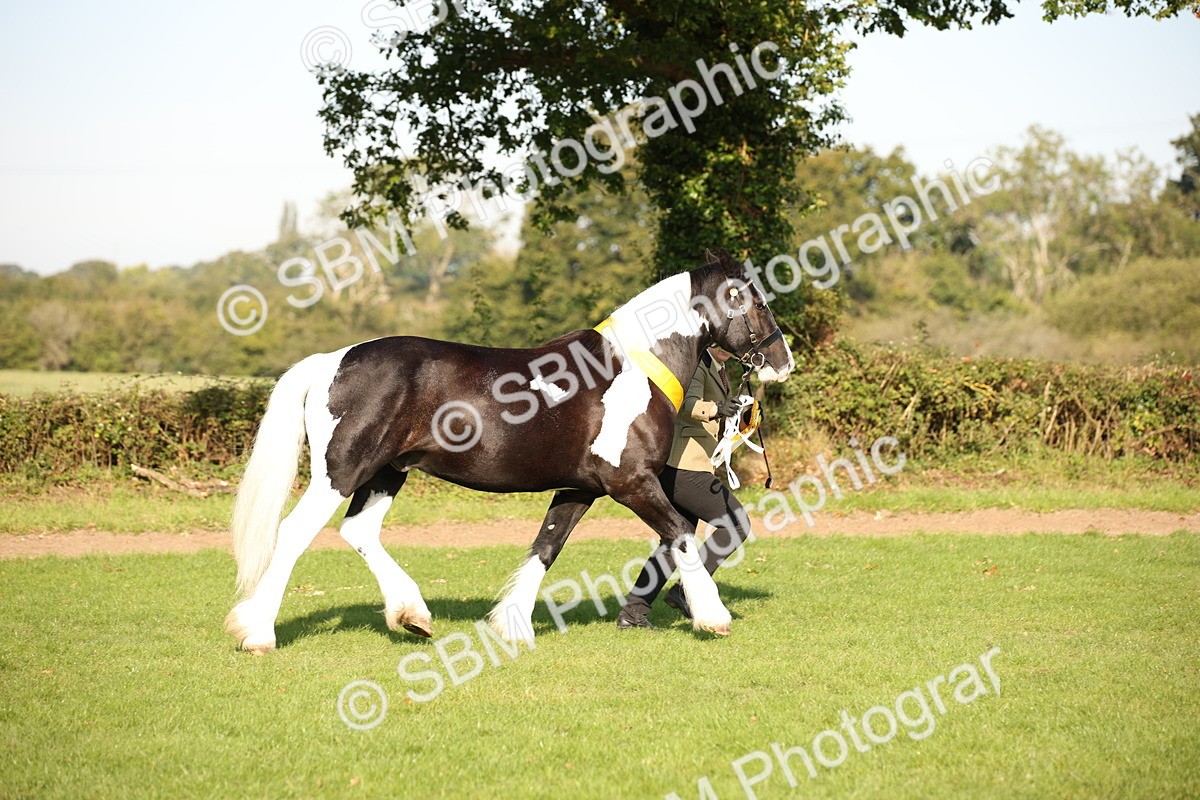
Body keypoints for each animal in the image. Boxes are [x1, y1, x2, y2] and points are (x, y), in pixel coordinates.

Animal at [225, 249, 794, 653]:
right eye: (758, 302)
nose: (782, 363)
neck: (634, 368)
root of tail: (333, 360)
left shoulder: (578, 489)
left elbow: (546, 546)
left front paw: (512, 625)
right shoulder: (630, 483)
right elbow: (679, 534)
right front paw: (713, 616)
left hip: (389, 471)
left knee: (359, 531)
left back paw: (412, 616)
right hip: (340, 472)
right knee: (293, 533)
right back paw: (259, 634)